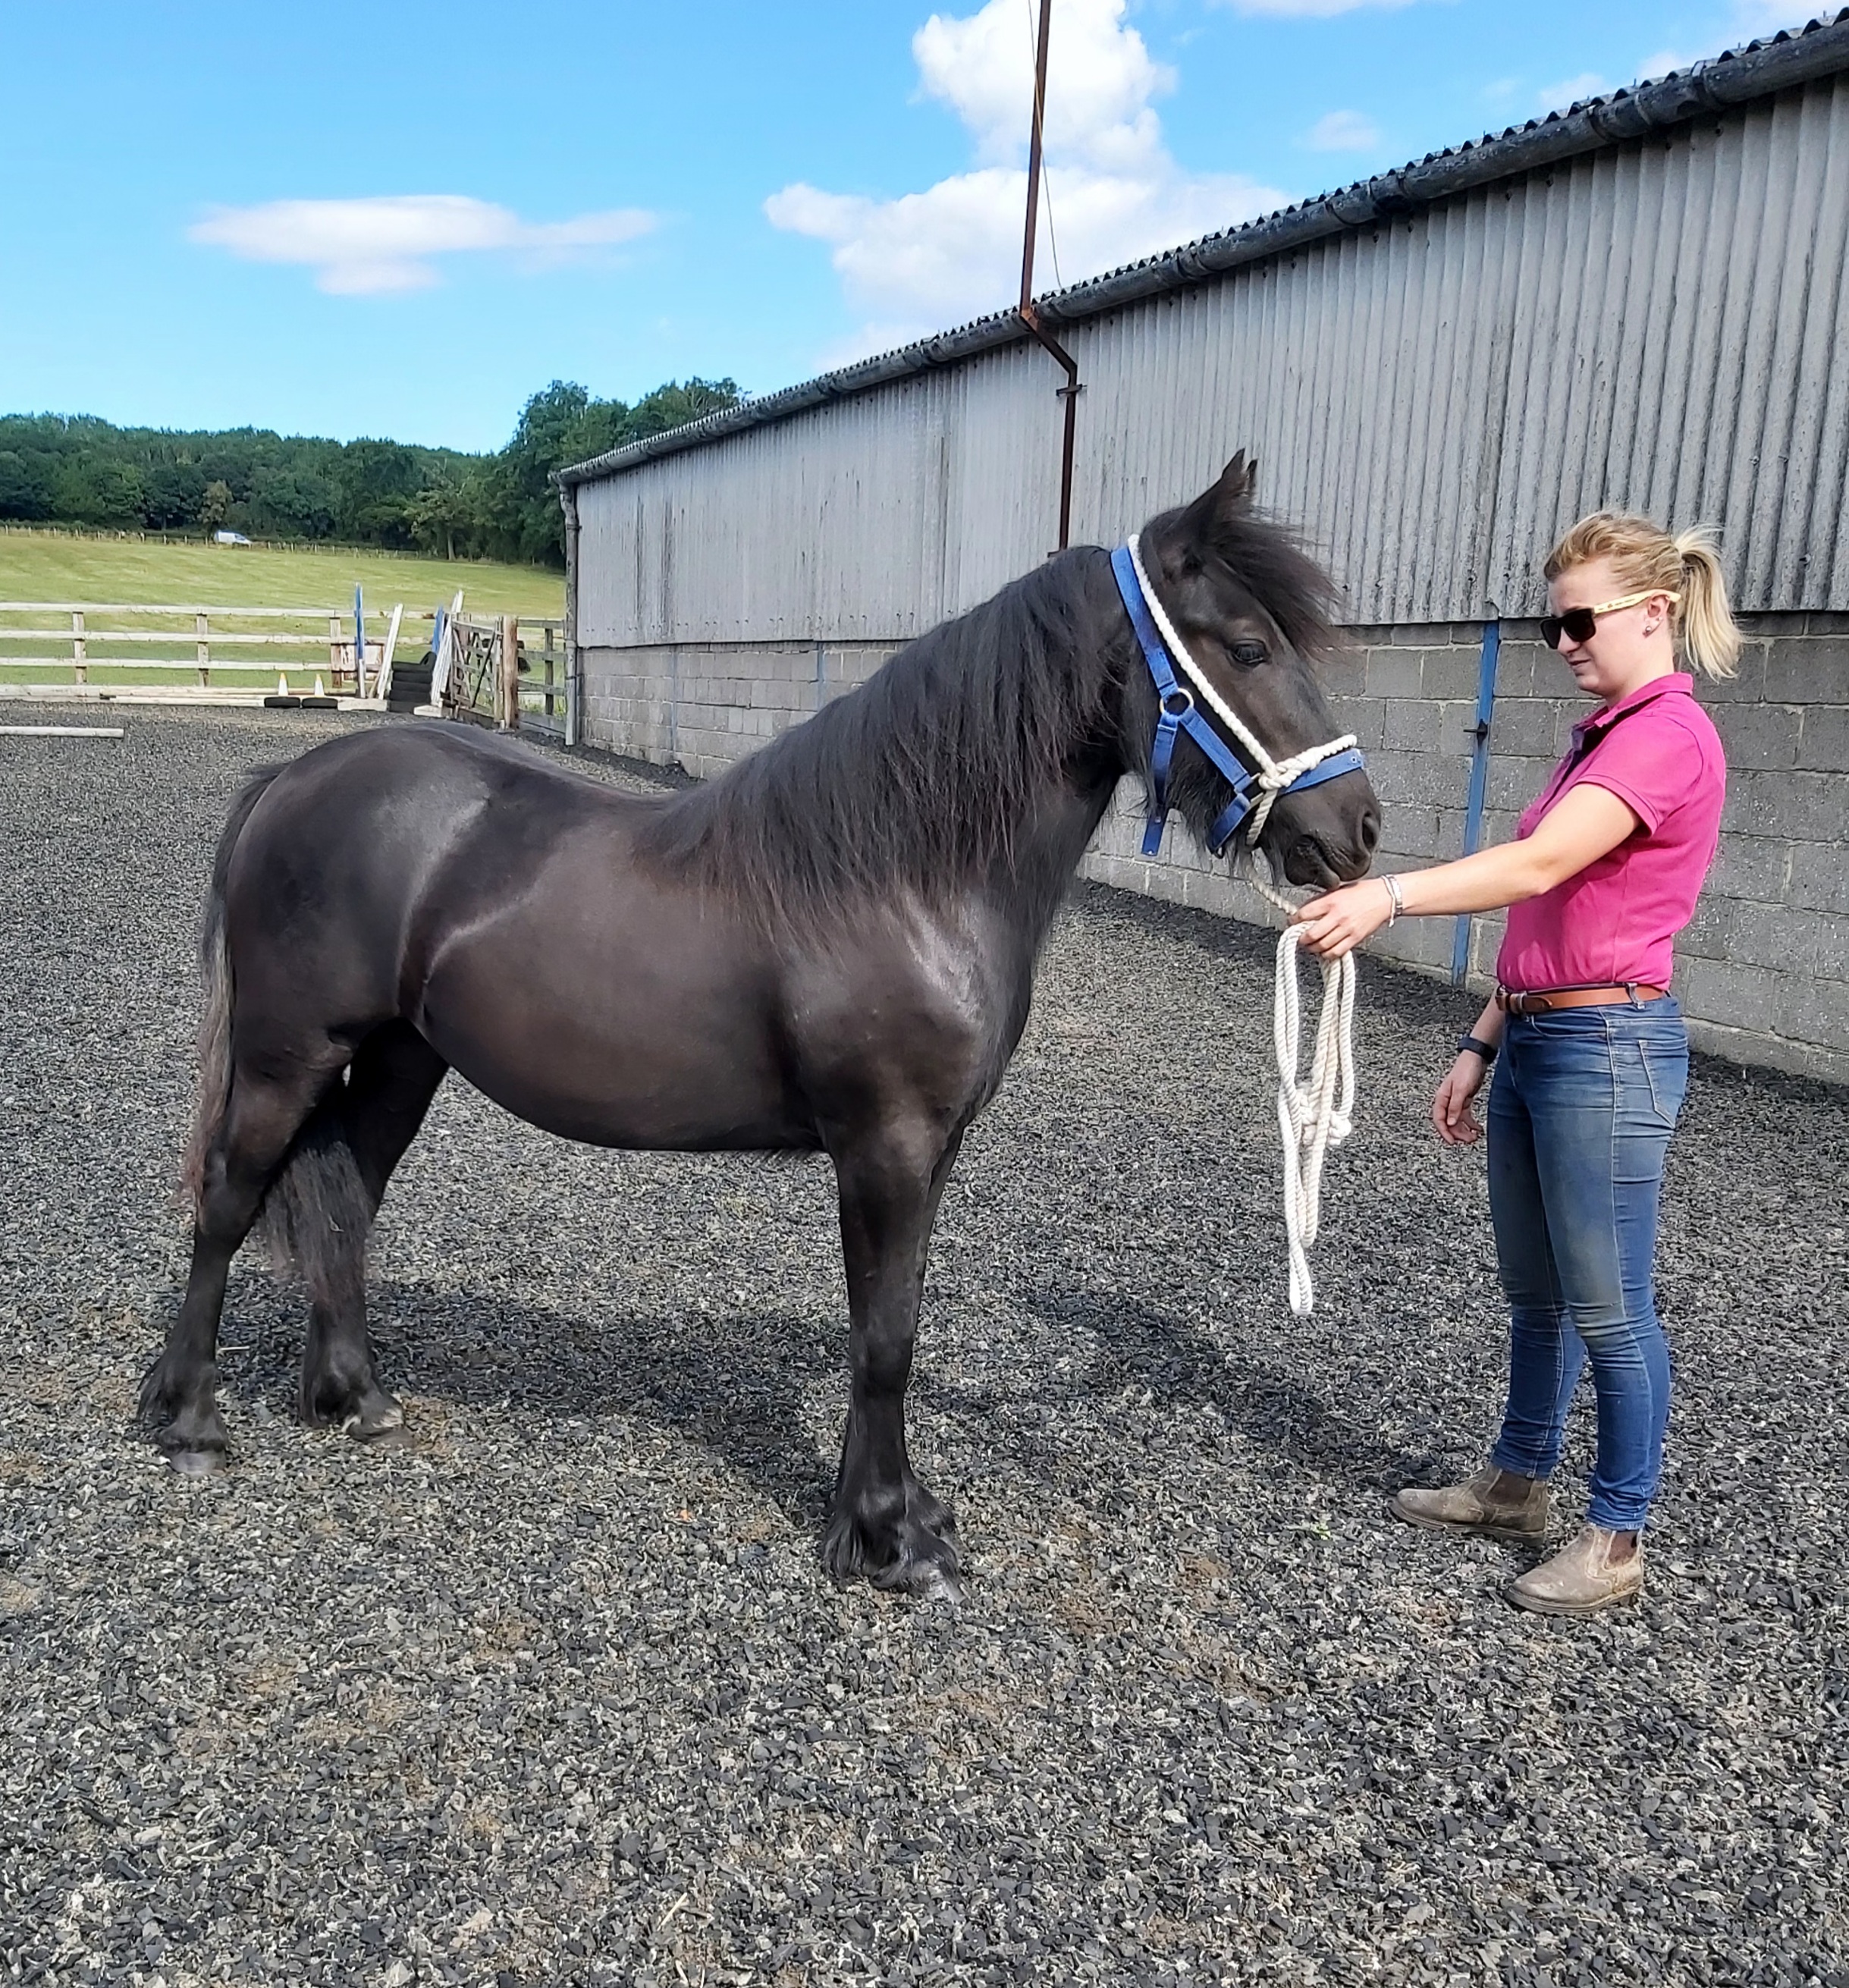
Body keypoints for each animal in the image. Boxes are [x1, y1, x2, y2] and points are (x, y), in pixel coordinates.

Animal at [144, 455, 1376, 1598]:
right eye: (1247, 647)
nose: (1356, 829)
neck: (905, 871)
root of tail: (292, 777)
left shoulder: (932, 1151)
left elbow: (898, 1319)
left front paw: (905, 1514)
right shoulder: (883, 1147)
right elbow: (881, 1337)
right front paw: (884, 1540)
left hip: (402, 1057)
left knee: (344, 1195)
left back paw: (353, 1396)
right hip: (288, 1056)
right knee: (229, 1200)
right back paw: (191, 1418)